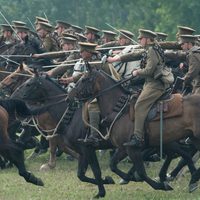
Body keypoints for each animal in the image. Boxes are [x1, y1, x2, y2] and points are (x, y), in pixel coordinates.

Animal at [69, 67, 200, 194]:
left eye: (84, 79)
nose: (69, 95)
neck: (120, 111)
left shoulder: (133, 149)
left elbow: (141, 173)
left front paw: (160, 185)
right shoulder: (123, 148)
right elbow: (113, 165)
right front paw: (124, 178)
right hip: (190, 138)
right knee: (185, 154)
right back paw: (191, 178)